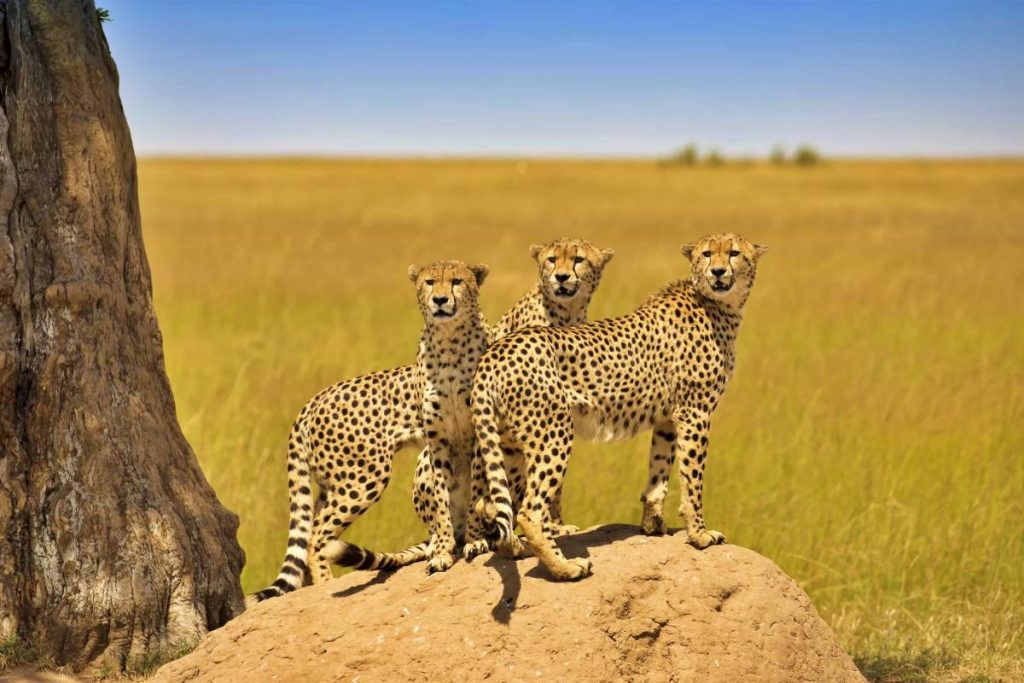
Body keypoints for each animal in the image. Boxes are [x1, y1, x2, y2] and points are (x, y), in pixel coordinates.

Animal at [250, 237, 610, 602]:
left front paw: (548, 527)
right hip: (363, 478)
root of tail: (313, 399)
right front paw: (459, 547)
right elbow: (453, 498)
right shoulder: (451, 438)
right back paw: (328, 583)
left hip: (333, 483)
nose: (562, 278)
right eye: (552, 260)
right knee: (318, 533)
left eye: (578, 260)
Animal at [468, 232, 765, 581]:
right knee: (529, 511)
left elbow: (659, 474)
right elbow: (693, 479)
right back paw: (565, 567)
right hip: (554, 433)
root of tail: (495, 351)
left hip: (508, 443)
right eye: (707, 254)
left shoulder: (668, 419)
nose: (717, 272)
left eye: (733, 253)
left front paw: (653, 525)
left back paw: (513, 548)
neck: (719, 304)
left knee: (490, 503)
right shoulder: (695, 414)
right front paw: (700, 535)